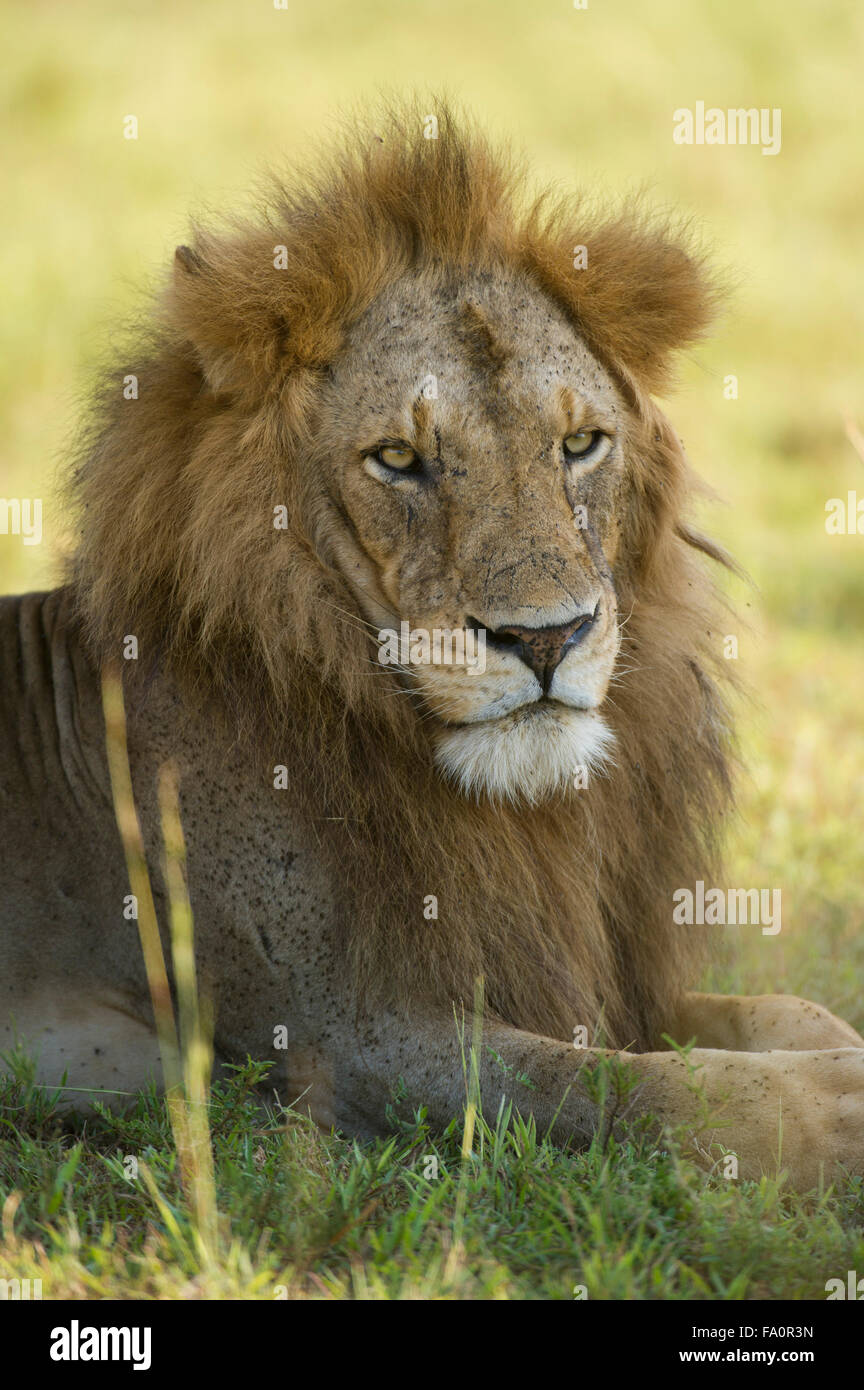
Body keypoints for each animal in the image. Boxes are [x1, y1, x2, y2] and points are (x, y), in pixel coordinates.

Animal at [1, 102, 864, 1184]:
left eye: (580, 444)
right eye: (399, 459)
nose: (548, 637)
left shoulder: (589, 975)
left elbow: (780, 1011)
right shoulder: (342, 1037)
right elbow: (633, 1084)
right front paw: (827, 1114)